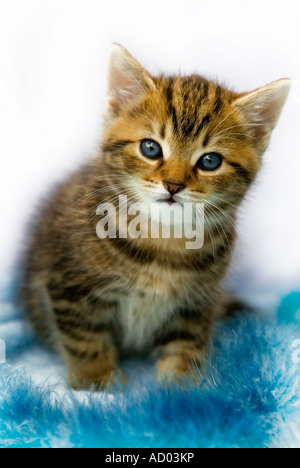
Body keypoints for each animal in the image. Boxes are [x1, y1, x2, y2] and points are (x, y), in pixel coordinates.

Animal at [20, 44, 288, 390]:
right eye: (150, 148)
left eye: (210, 161)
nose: (173, 184)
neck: (163, 240)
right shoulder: (70, 289)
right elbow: (87, 341)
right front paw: (98, 384)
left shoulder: (196, 305)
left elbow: (185, 345)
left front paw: (179, 391)